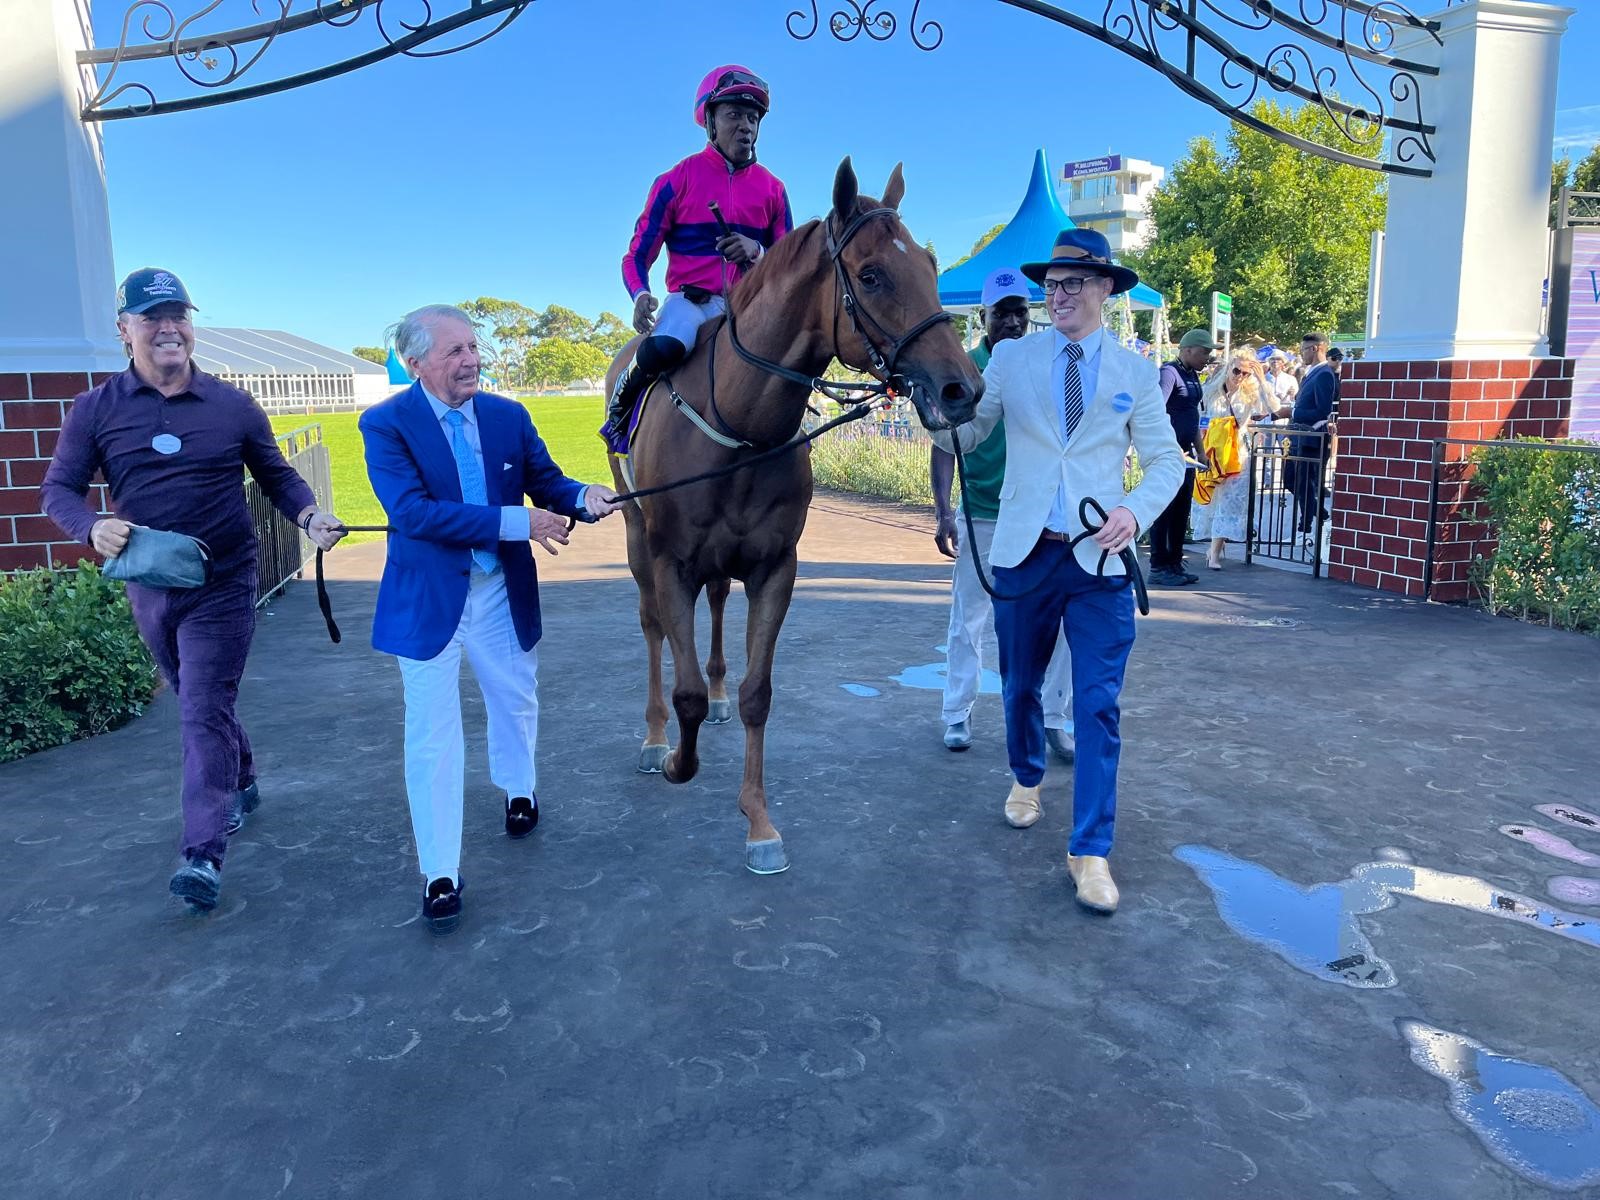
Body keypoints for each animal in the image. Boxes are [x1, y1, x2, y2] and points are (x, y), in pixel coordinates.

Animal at [601, 160, 979, 876]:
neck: (739, 426)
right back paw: (653, 738)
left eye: (929, 264)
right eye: (871, 274)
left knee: (718, 605)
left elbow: (758, 693)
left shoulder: (776, 566)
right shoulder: (669, 562)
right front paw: (678, 760)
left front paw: (759, 822)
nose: (963, 388)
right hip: (636, 539)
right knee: (651, 629)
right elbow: (684, 689)